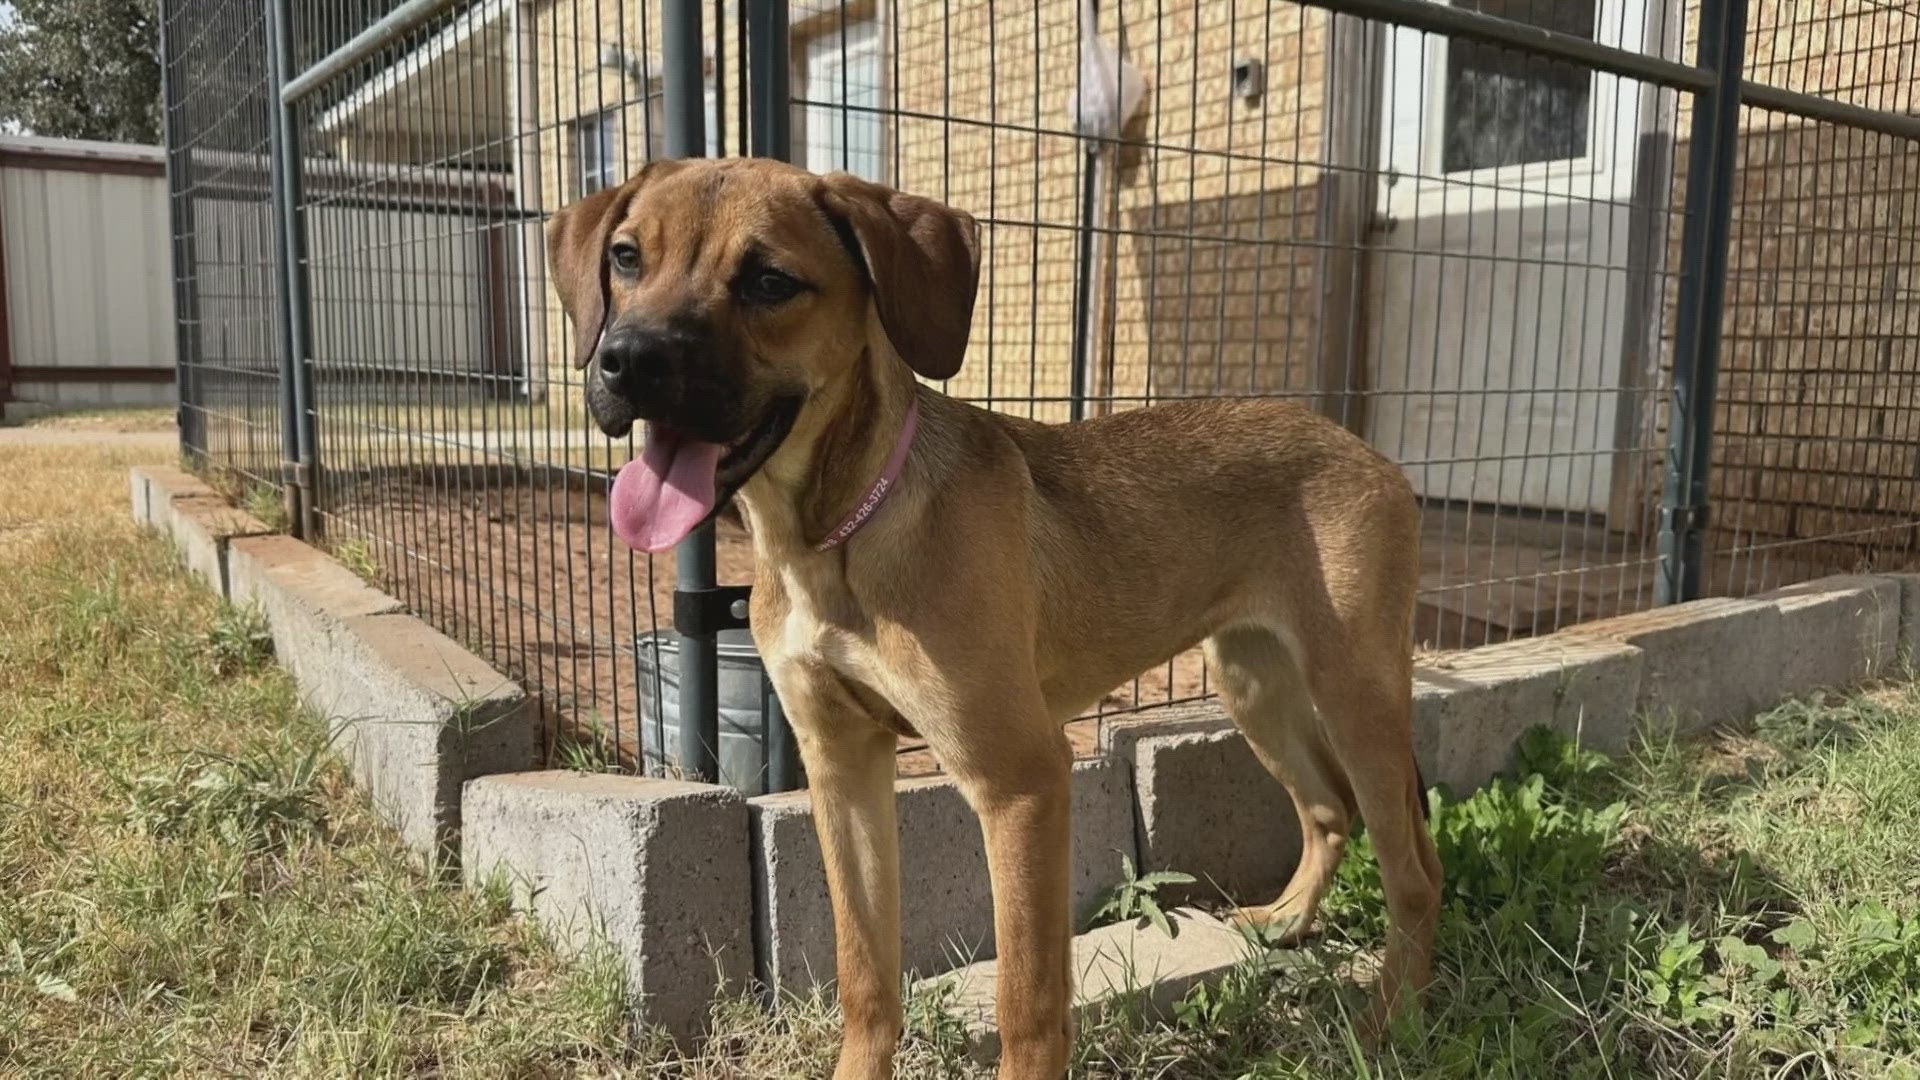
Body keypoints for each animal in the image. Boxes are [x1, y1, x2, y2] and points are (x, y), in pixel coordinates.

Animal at [545, 155, 1443, 1068]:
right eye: (626, 258)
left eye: (769, 281)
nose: (625, 361)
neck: (833, 539)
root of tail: (1363, 448)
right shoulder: (841, 765)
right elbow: (864, 974)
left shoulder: (1020, 779)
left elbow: (1028, 1002)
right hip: (1251, 679)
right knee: (1327, 811)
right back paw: (1288, 923)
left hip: (1356, 693)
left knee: (1414, 868)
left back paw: (1393, 1023)